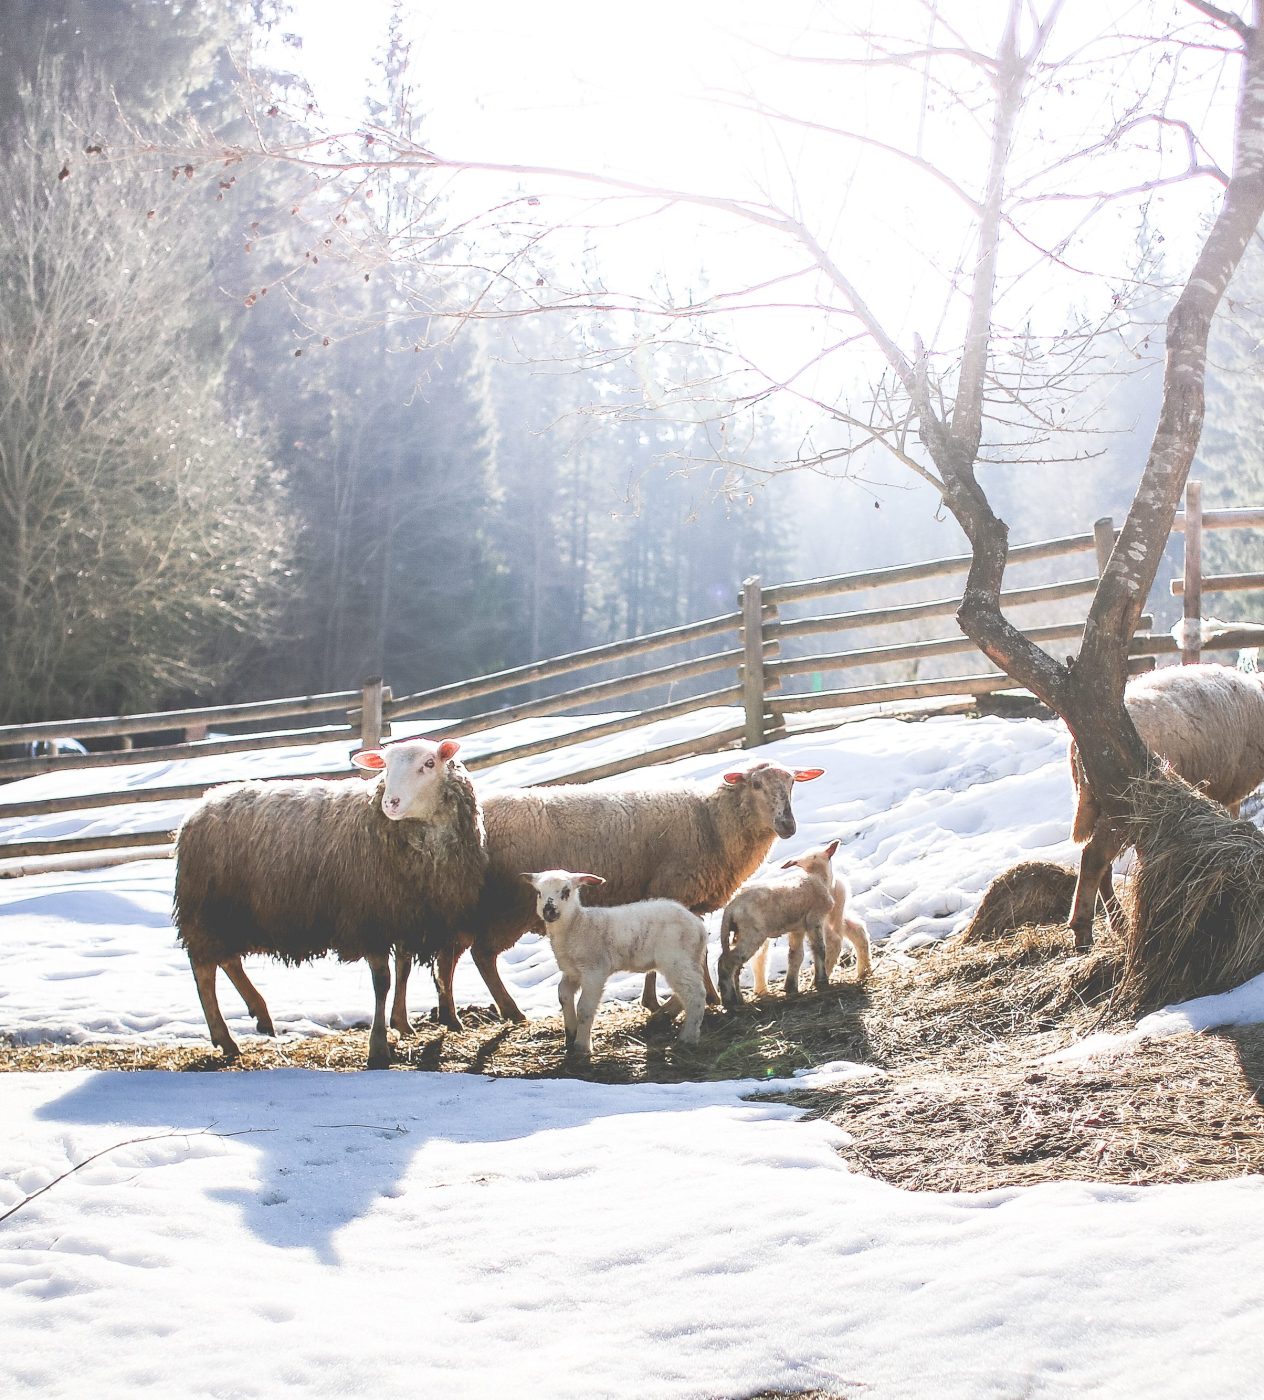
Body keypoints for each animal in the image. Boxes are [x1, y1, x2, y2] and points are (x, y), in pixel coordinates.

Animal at [517, 868, 705, 1052]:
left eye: (566, 891)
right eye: (539, 893)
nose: (548, 911)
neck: (577, 925)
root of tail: (699, 927)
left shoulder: (594, 970)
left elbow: (584, 1008)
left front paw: (581, 1046)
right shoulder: (572, 972)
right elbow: (563, 996)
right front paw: (570, 1034)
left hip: (677, 959)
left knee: (695, 994)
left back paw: (687, 1038)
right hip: (688, 960)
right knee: (686, 993)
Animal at [722, 834, 867, 1013]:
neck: (816, 877)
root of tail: (730, 908)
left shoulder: (797, 929)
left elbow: (795, 955)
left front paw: (791, 987)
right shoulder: (814, 920)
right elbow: (819, 949)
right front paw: (821, 981)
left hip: (738, 934)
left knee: (735, 967)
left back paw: (739, 998)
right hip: (752, 934)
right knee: (727, 963)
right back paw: (729, 1000)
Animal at [1069, 658, 1264, 952]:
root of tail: (1079, 747)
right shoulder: (1228, 793)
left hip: (1107, 805)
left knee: (1102, 863)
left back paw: (1120, 924)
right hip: (1123, 803)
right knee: (1094, 858)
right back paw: (1083, 931)